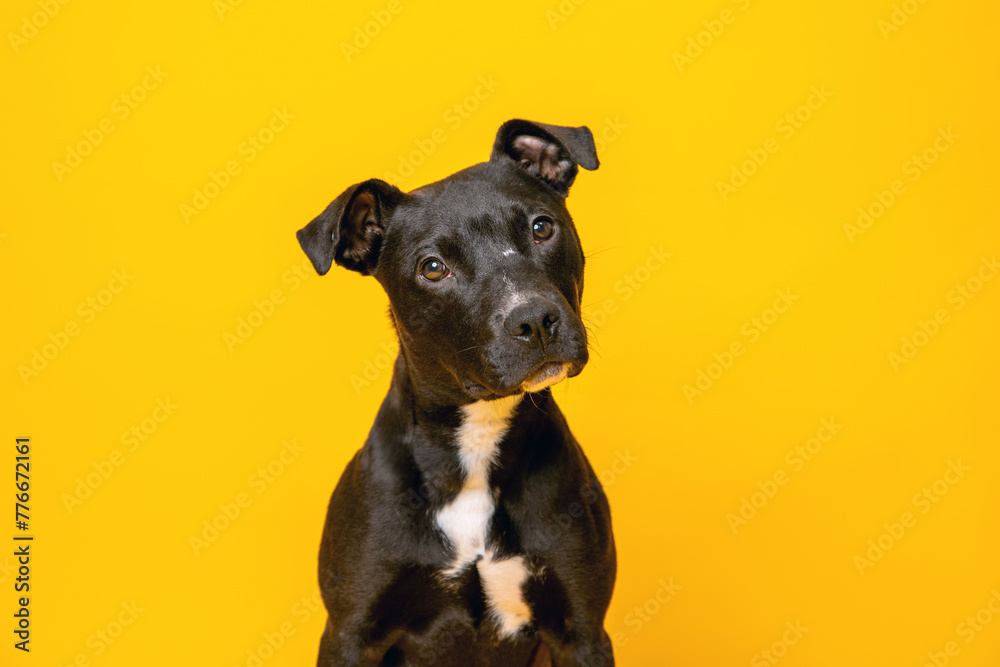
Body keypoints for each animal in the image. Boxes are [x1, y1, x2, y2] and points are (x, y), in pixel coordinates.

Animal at [294, 120, 616, 667]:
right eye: (433, 267)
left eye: (541, 227)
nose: (534, 319)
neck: (476, 447)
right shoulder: (350, 634)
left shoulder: (583, 632)